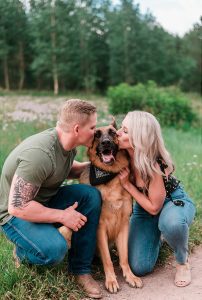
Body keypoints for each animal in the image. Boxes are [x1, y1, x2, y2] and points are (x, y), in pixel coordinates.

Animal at [79, 120, 143, 292]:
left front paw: (130, 276)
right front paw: (111, 280)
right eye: (96, 134)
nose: (106, 142)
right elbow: (107, 259)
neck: (109, 177)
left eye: (113, 133)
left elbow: (125, 257)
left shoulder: (124, 225)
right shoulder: (100, 227)